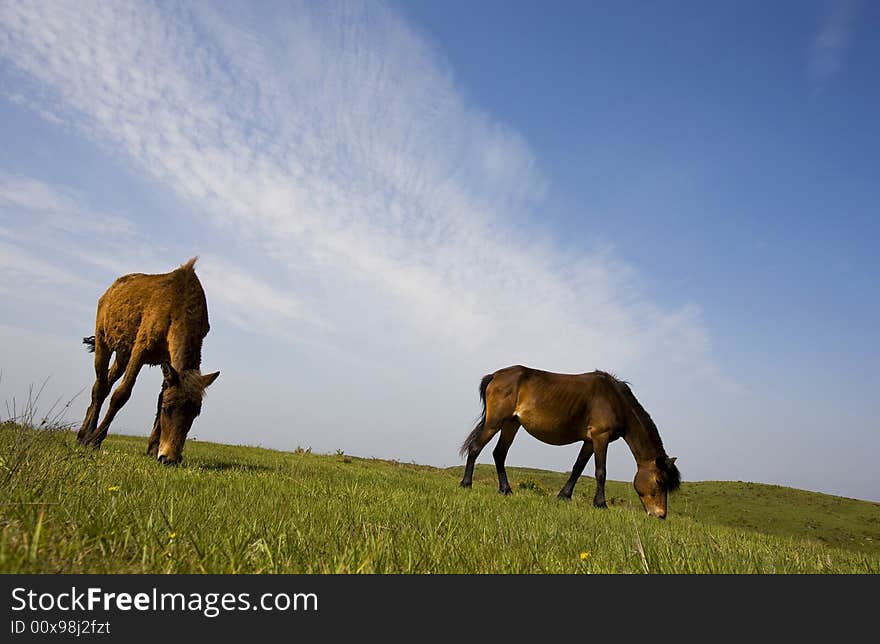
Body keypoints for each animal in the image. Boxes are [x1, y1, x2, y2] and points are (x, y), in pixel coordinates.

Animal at [76, 256, 220, 462]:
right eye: (168, 409)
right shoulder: (141, 348)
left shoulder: (167, 361)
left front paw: (153, 448)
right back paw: (85, 435)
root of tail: (109, 291)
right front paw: (95, 440)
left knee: (105, 383)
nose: (170, 459)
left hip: (122, 354)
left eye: (196, 412)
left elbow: (159, 395)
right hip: (104, 340)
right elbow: (122, 394)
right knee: (100, 387)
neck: (179, 308)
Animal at [460, 368, 680, 520]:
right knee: (476, 448)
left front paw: (564, 496)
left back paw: (505, 490)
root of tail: (495, 375)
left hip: (511, 424)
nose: (660, 515)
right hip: (495, 422)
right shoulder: (600, 437)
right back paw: (466, 484)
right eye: (659, 481)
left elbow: (577, 468)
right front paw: (601, 504)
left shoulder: (589, 441)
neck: (614, 399)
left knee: (499, 454)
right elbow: (601, 472)